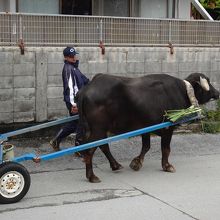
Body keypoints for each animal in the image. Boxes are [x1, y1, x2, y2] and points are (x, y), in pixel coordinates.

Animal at [76, 73, 219, 183]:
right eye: (208, 83)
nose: (217, 93)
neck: (182, 91)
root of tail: (86, 90)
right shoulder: (168, 128)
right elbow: (165, 149)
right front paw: (167, 166)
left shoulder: (146, 128)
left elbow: (146, 146)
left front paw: (136, 163)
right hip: (98, 130)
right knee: (89, 149)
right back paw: (92, 176)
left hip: (98, 130)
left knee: (101, 146)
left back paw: (115, 165)